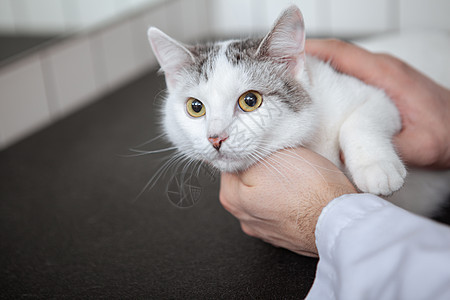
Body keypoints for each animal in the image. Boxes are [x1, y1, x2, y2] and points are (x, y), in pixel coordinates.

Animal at [146, 5, 448, 217]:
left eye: (250, 101)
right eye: (195, 107)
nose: (215, 138)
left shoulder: (378, 95)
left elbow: (359, 120)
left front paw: (375, 167)